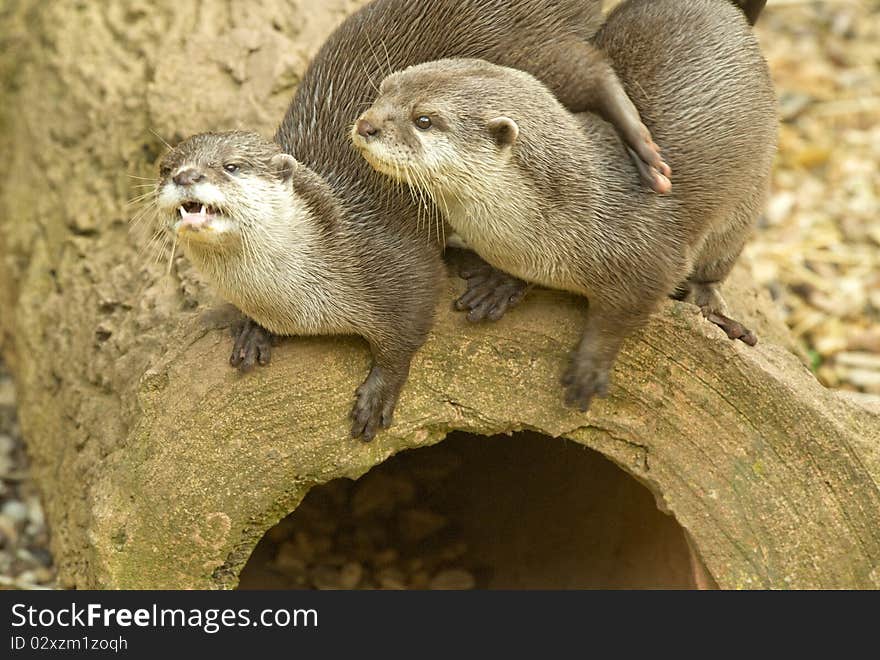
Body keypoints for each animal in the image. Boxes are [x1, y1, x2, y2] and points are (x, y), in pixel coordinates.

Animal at [155, 2, 672, 444]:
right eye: (165, 167)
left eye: (232, 166)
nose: (185, 176)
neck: (295, 297)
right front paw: (251, 331)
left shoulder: (396, 267)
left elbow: (409, 328)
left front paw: (379, 393)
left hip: (534, 53)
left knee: (592, 69)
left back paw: (644, 152)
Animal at [350, 0, 776, 410]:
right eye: (385, 88)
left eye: (424, 119)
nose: (365, 124)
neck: (581, 211)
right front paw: (502, 283)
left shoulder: (652, 260)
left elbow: (622, 316)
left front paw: (591, 365)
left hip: (747, 201)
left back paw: (716, 311)